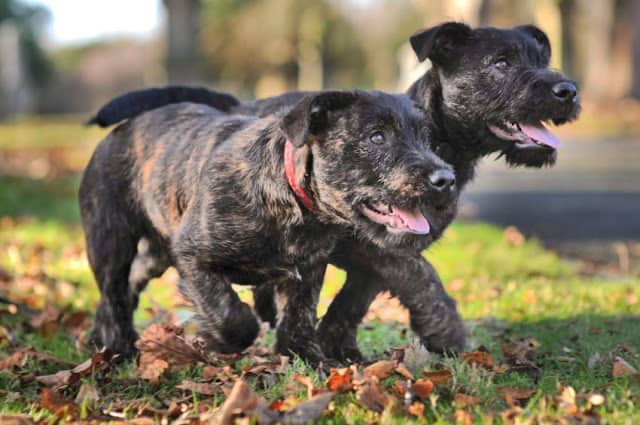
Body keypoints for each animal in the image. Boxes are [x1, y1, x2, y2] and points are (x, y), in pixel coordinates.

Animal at [81, 89, 460, 362]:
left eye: (428, 140)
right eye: (377, 137)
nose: (446, 179)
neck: (291, 202)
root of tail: (123, 128)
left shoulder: (308, 269)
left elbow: (299, 315)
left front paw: (306, 358)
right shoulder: (192, 255)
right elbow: (226, 310)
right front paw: (224, 338)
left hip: (157, 252)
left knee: (131, 279)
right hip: (110, 239)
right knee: (113, 290)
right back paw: (117, 345)